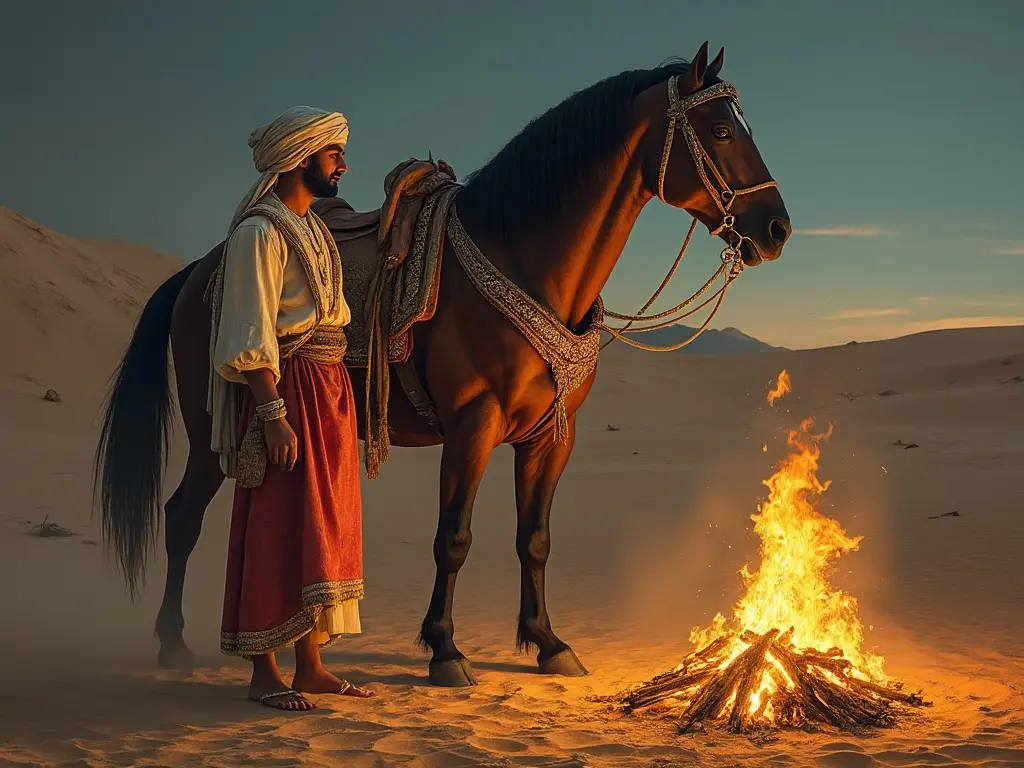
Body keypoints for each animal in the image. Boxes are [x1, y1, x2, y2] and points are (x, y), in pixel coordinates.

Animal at [92, 45, 790, 688]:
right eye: (721, 130)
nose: (777, 228)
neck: (522, 259)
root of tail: (198, 270)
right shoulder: (471, 426)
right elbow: (453, 538)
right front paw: (445, 649)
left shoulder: (551, 436)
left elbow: (534, 538)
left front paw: (548, 642)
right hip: (212, 428)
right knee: (182, 517)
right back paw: (173, 642)